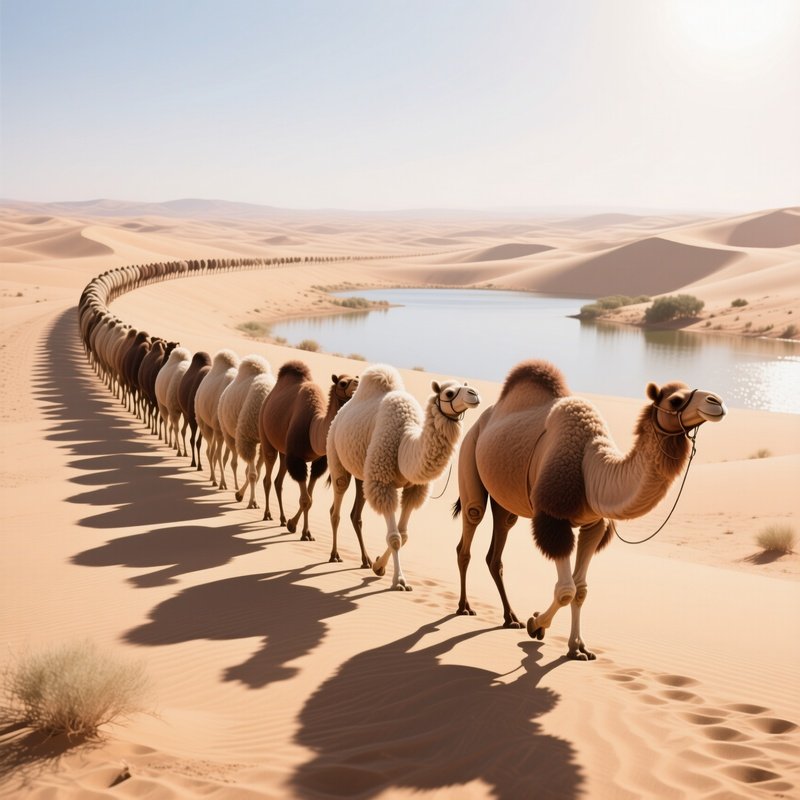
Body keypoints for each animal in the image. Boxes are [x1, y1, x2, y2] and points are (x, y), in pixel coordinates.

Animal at [258, 361, 359, 544]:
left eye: (357, 378)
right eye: (342, 383)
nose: (357, 384)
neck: (314, 428)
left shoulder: (319, 461)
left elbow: (310, 499)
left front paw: (302, 530)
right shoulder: (297, 459)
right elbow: (305, 499)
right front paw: (298, 529)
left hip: (284, 451)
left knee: (278, 481)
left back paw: (282, 519)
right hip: (265, 433)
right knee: (268, 476)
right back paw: (267, 514)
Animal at [327, 364, 481, 589]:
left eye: (465, 386)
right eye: (449, 393)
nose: (474, 394)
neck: (405, 443)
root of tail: (340, 414)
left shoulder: (415, 487)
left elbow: (404, 534)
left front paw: (378, 566)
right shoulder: (383, 483)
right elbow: (395, 537)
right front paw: (399, 580)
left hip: (362, 472)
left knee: (356, 509)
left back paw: (364, 560)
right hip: (335, 452)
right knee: (337, 498)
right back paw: (334, 555)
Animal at [453, 359, 726, 660]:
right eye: (676, 400)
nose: (716, 401)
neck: (590, 466)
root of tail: (483, 418)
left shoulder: (594, 523)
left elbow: (581, 590)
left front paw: (577, 648)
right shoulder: (554, 518)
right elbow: (566, 590)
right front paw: (536, 625)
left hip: (504, 499)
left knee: (498, 547)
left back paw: (510, 617)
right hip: (468, 454)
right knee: (470, 525)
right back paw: (464, 607)